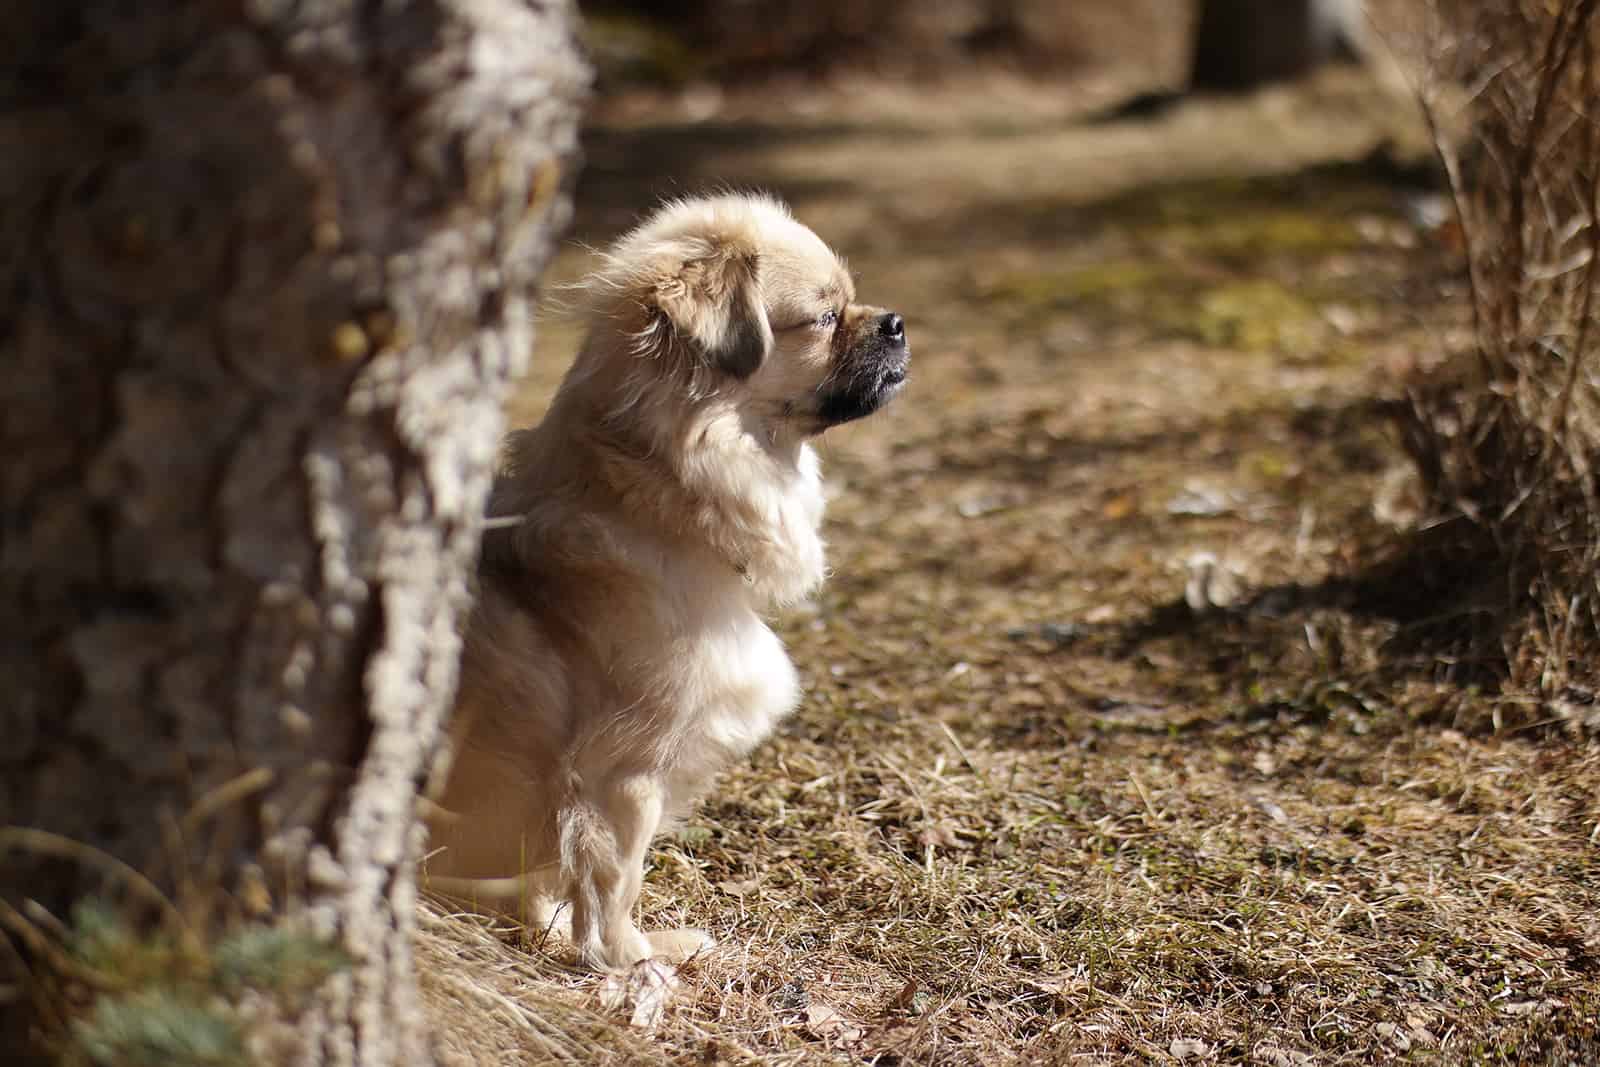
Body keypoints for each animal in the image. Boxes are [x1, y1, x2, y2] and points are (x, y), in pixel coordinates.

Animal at [425, 194, 908, 979]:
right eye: (826, 317)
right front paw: (634, 960)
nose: (895, 321)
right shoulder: (623, 774)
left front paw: (559, 939)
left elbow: (557, 885)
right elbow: (616, 879)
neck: (653, 497)